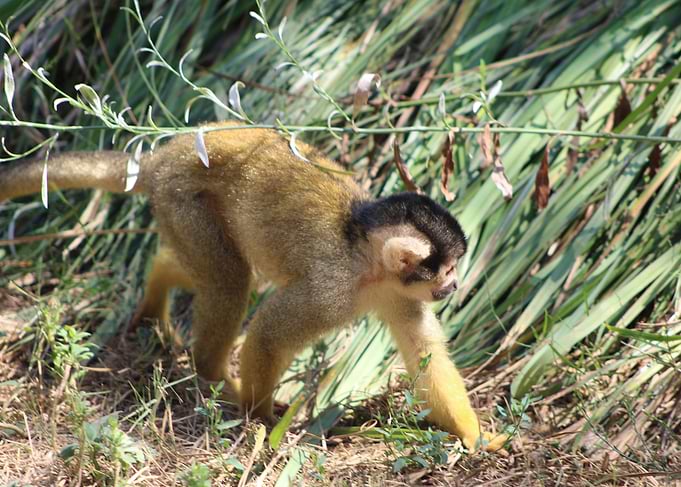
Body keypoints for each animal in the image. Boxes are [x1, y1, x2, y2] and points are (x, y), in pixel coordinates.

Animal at [0, 123, 507, 452]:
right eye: (445, 269)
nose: (455, 285)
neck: (367, 261)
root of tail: (162, 158)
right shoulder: (332, 289)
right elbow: (268, 335)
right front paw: (261, 417)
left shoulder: (402, 295)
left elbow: (426, 358)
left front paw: (475, 436)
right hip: (184, 199)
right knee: (229, 281)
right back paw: (215, 379)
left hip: (179, 209)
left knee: (213, 271)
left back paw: (158, 287)